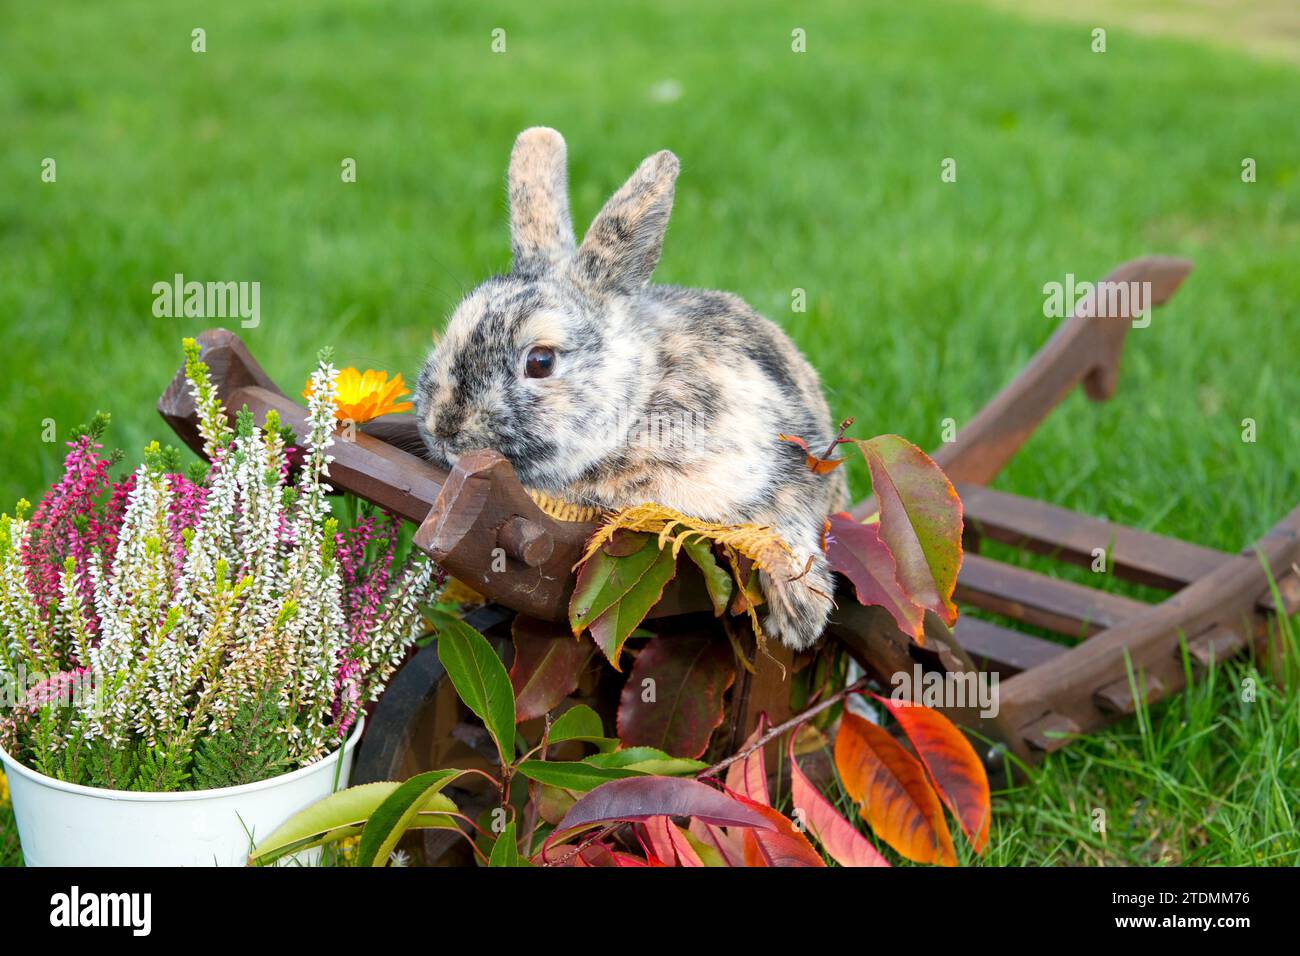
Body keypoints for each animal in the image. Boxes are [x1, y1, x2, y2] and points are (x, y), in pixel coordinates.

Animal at [410, 127, 847, 650]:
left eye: (540, 361)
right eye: (450, 331)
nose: (444, 428)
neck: (639, 404)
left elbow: (782, 522)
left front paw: (801, 619)